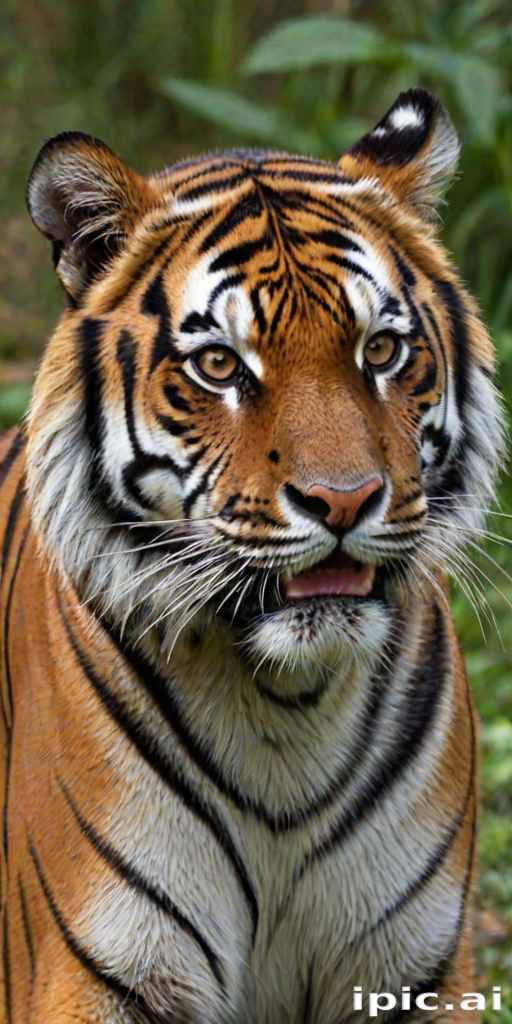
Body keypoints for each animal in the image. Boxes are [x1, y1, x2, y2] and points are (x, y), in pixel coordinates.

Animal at [0, 86, 505, 1024]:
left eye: (382, 350)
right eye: (219, 365)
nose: (342, 499)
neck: (286, 707)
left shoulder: (412, 970)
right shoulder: (101, 972)